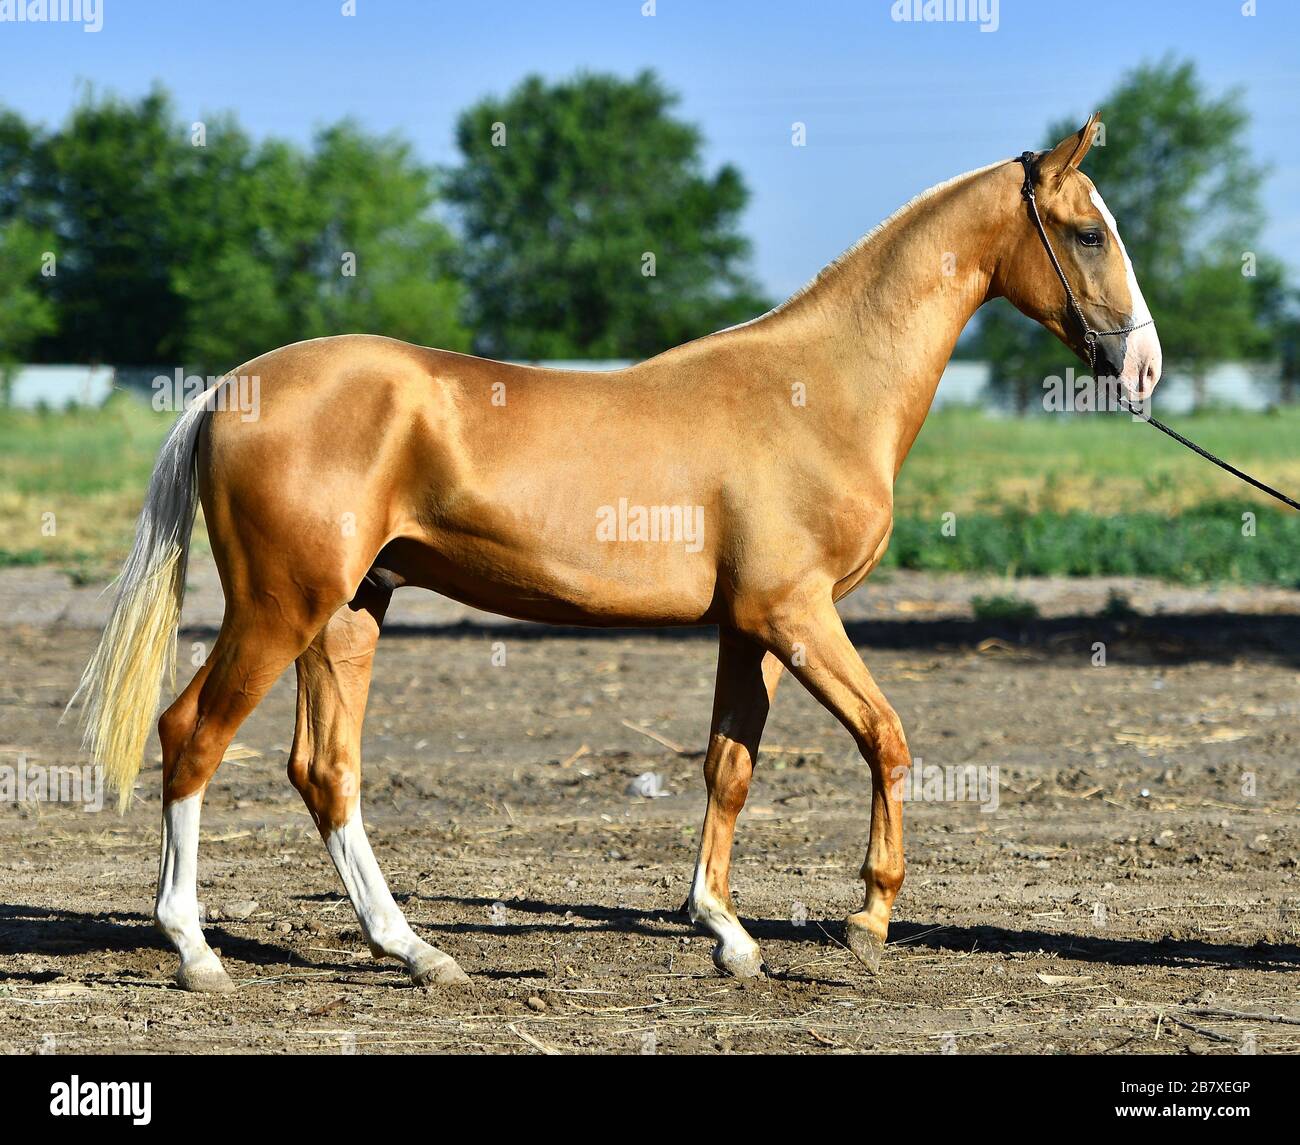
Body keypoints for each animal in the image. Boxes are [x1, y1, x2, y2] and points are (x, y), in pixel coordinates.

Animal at [71, 113, 1161, 991]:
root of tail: (228, 392)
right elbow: (885, 737)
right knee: (192, 735)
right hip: (279, 608)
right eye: (1088, 231)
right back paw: (196, 951)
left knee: (324, 770)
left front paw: (727, 932)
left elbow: (729, 766)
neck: (819, 387)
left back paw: (417, 951)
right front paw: (868, 915)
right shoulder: (796, 613)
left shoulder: (751, 627)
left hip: (346, 615)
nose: (1144, 366)